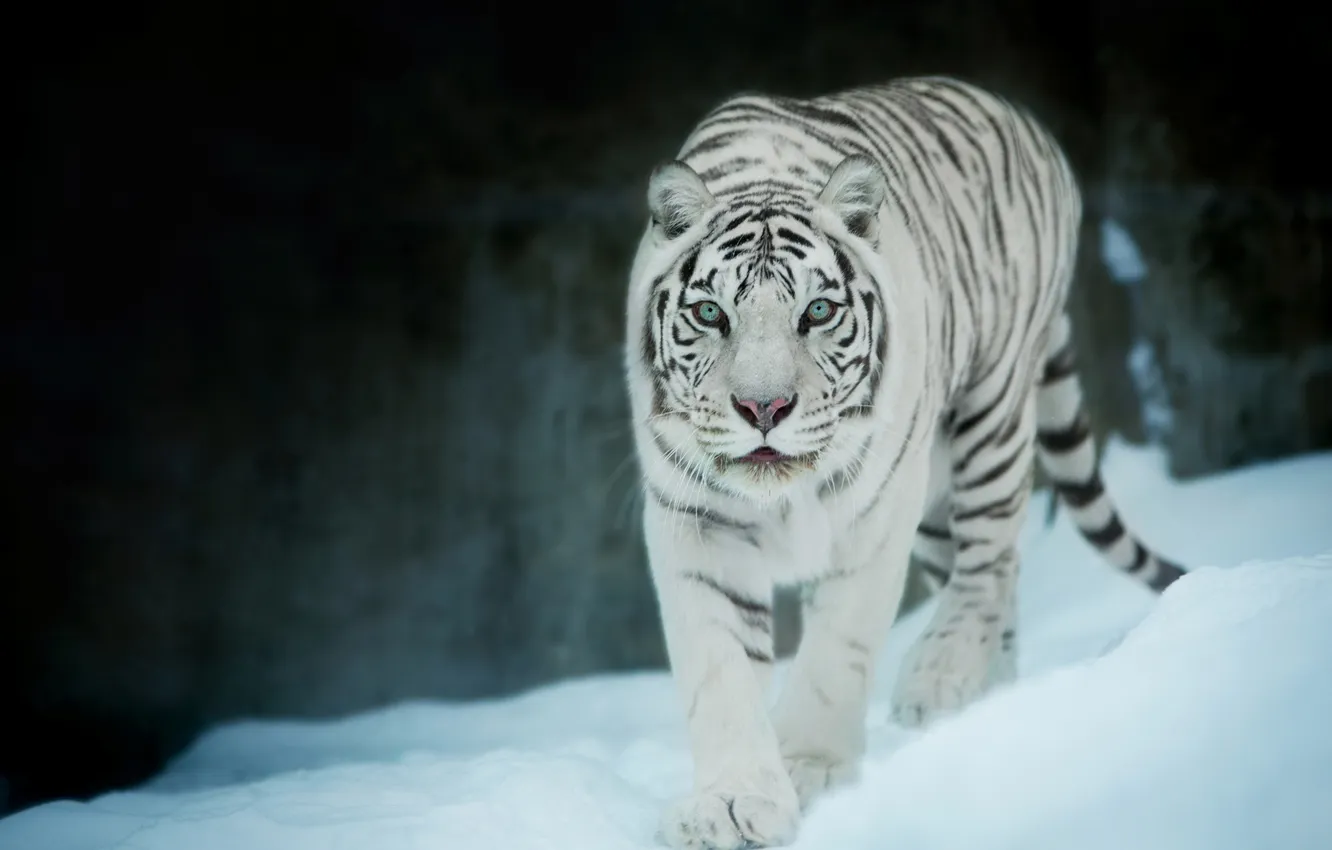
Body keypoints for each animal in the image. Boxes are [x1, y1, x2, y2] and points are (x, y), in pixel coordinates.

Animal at [623, 75, 1186, 850]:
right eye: (711, 315)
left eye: (817, 312)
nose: (764, 408)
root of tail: (1017, 112)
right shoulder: (696, 520)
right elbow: (720, 669)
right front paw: (733, 804)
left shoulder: (877, 512)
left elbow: (837, 651)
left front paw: (811, 769)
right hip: (938, 495)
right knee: (991, 577)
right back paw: (990, 697)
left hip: (990, 415)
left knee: (991, 561)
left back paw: (939, 679)